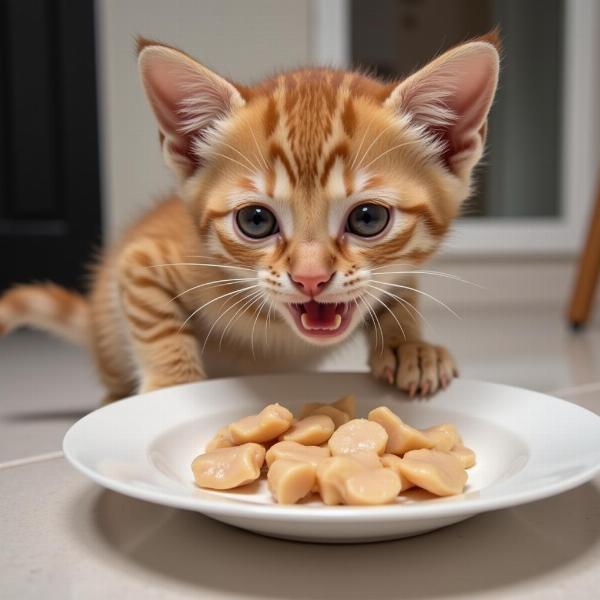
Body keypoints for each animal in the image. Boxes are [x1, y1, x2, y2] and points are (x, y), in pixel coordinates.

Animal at [0, 34, 500, 404]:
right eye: (256, 221)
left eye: (368, 218)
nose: (311, 278)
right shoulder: (140, 261)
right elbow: (157, 326)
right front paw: (172, 389)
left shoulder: (402, 270)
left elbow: (399, 290)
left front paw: (409, 346)